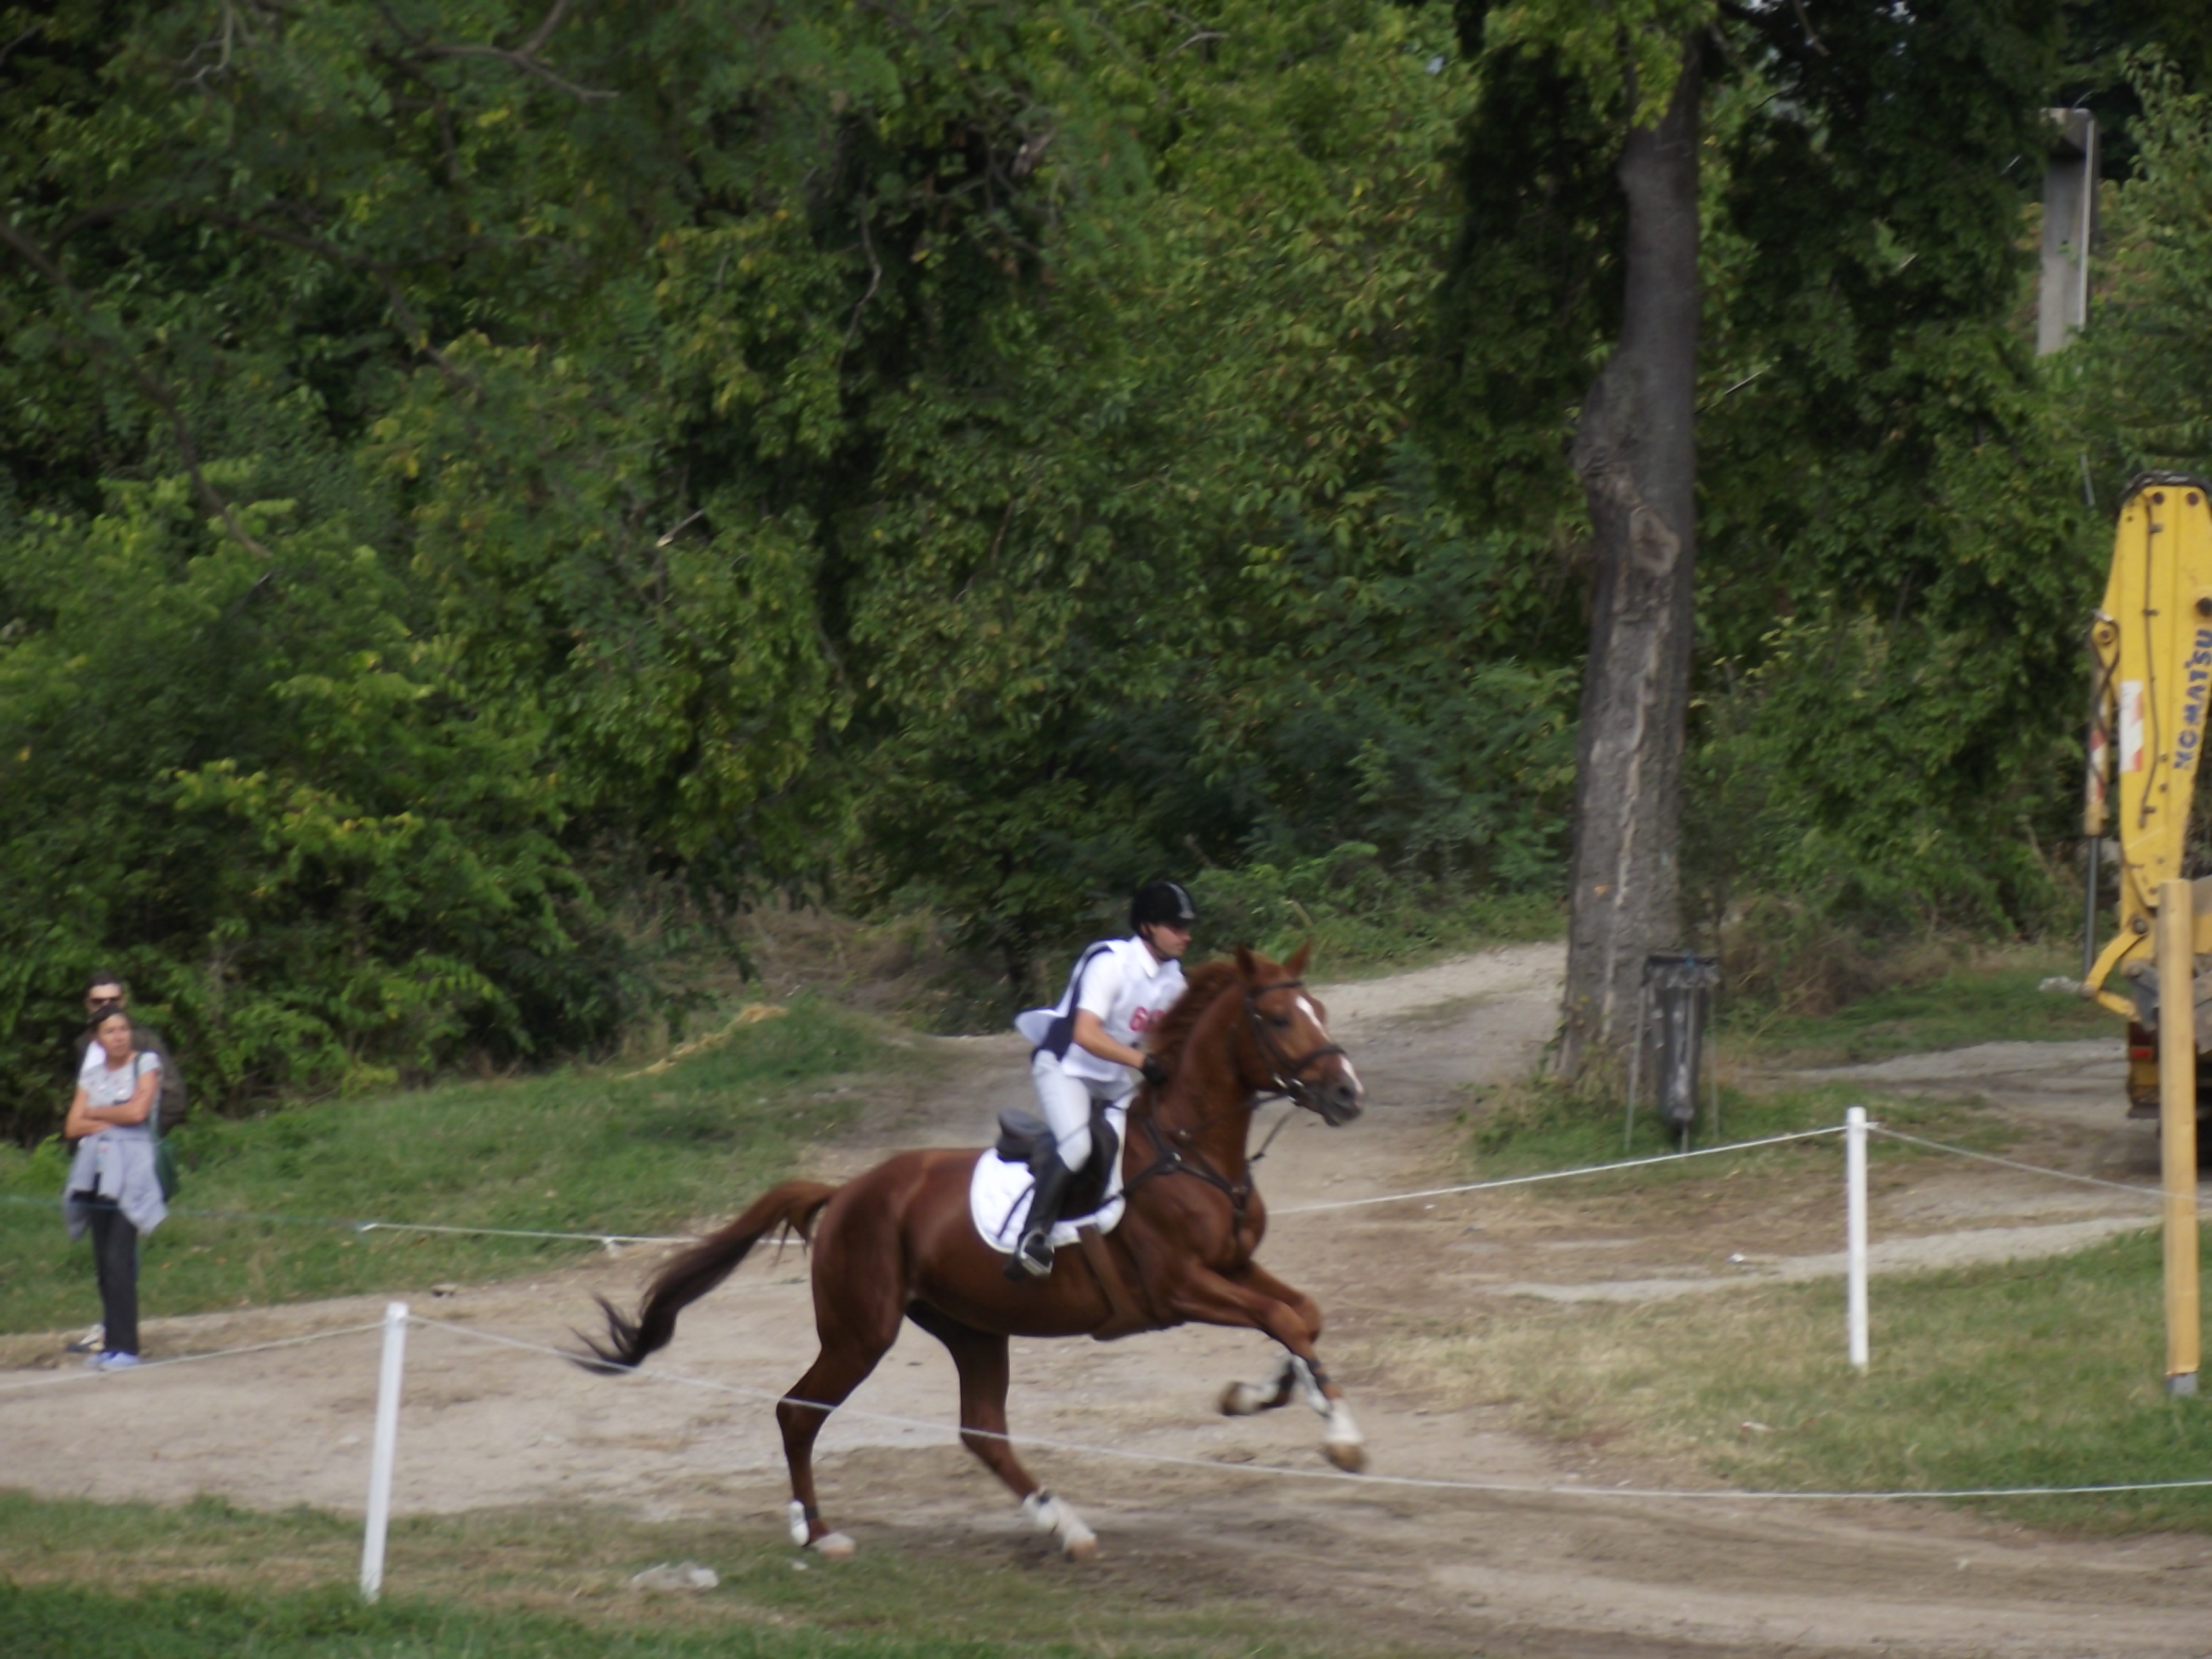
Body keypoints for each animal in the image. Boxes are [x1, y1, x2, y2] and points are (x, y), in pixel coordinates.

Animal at [579, 946, 1362, 1557]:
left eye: (1320, 1007)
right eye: (1281, 1018)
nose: (1348, 1096)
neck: (1189, 1148)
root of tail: (847, 1192)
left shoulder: (1232, 1268)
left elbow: (1303, 1315)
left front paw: (1267, 1392)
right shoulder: (1181, 1286)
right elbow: (1285, 1320)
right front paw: (1341, 1437)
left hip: (972, 1326)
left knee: (981, 1431)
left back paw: (1065, 1524)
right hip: (863, 1331)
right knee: (798, 1412)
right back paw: (818, 1532)